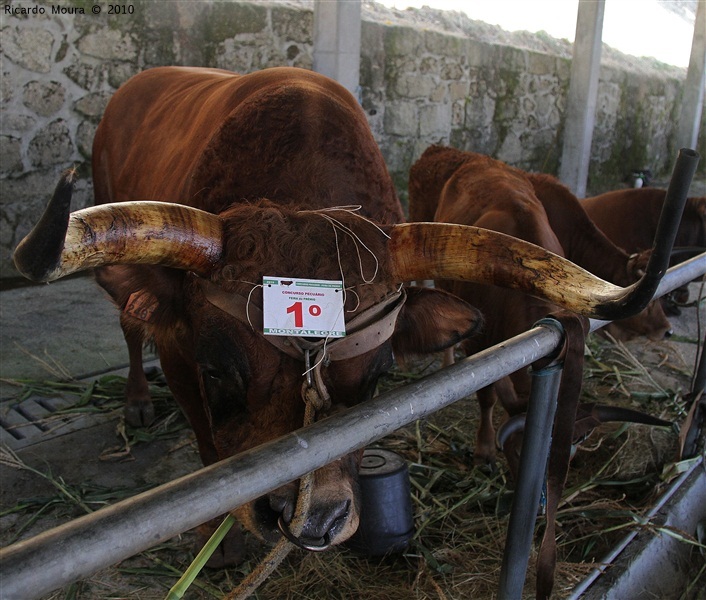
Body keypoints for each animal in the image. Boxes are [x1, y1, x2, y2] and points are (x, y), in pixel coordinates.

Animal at [13, 68, 656, 564]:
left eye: (378, 378)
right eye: (217, 371)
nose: (312, 520)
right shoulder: (180, 355)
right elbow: (206, 448)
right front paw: (220, 544)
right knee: (129, 324)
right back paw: (137, 402)